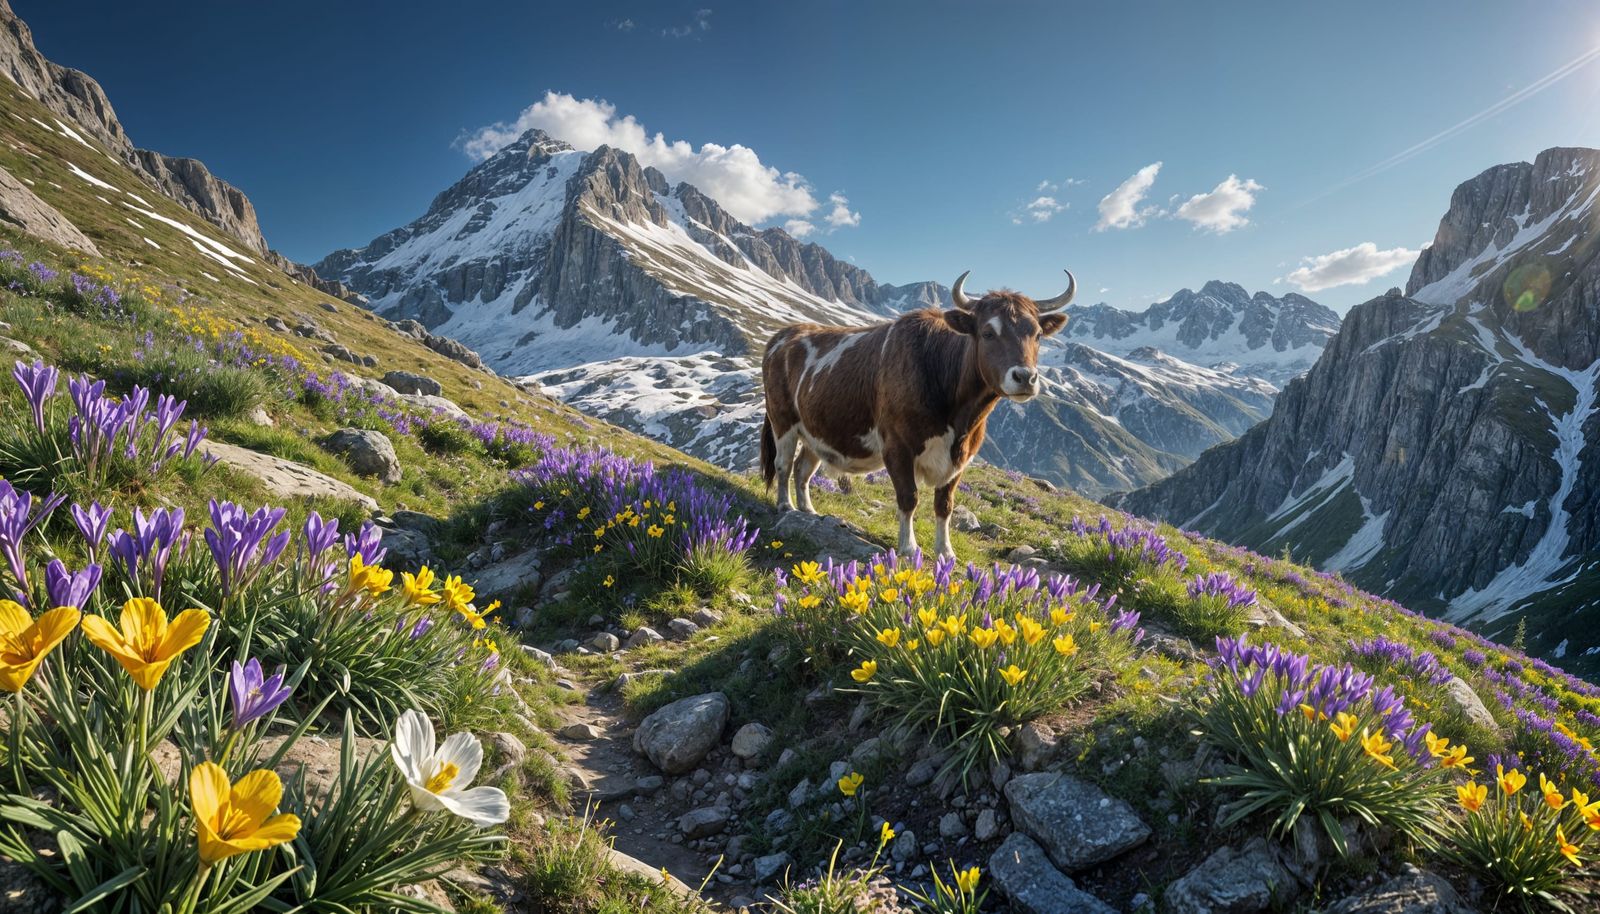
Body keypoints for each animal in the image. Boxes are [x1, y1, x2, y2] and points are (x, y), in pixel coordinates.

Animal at [760, 269, 1074, 558]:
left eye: (1037, 334)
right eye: (987, 332)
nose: (1025, 377)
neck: (959, 417)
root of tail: (783, 335)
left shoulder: (962, 457)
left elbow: (945, 505)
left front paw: (945, 551)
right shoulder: (897, 446)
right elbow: (908, 497)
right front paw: (909, 547)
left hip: (817, 431)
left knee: (803, 469)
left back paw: (808, 510)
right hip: (782, 419)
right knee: (783, 464)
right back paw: (785, 505)